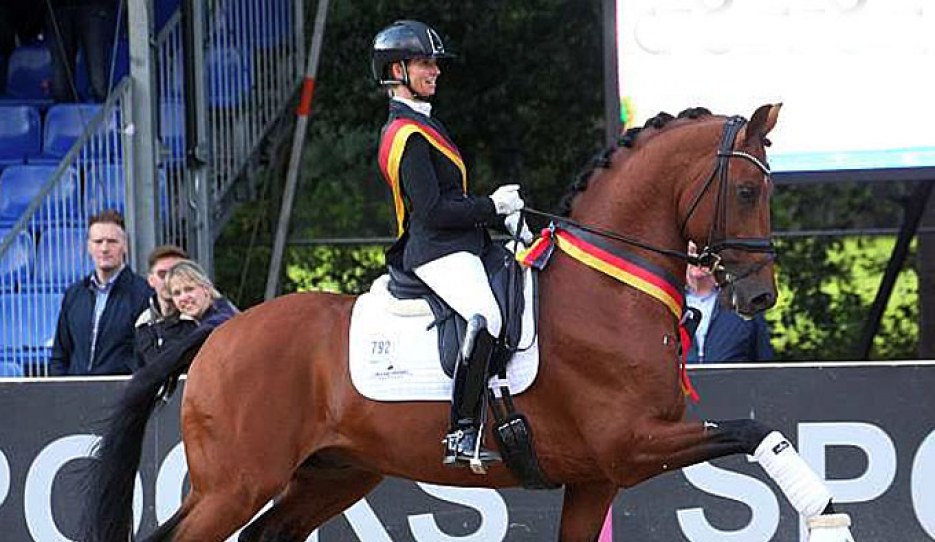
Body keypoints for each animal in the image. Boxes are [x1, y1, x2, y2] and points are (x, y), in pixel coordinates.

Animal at [83, 104, 856, 542]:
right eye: (749, 189)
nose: (758, 297)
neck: (609, 290)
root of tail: (217, 332)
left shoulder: (596, 480)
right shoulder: (631, 444)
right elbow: (756, 430)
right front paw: (820, 504)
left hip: (331, 475)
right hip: (237, 483)